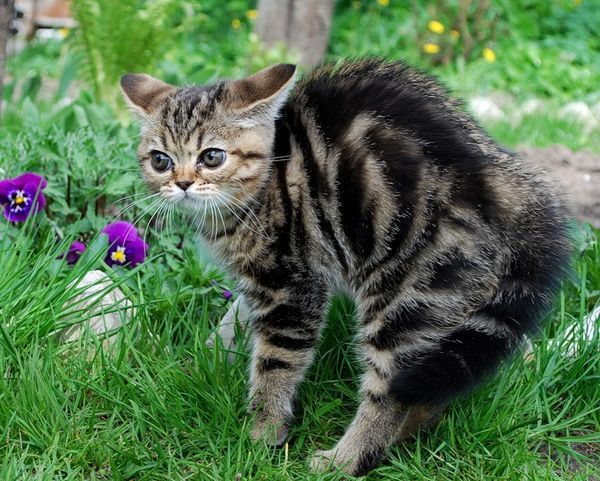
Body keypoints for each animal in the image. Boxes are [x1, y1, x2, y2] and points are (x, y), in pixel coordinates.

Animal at [119, 58, 568, 474]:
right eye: (160, 160)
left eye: (212, 156)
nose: (181, 183)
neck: (262, 187)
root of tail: (507, 186)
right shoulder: (263, 282)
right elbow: (236, 318)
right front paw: (203, 358)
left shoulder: (292, 284)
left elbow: (275, 361)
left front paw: (262, 433)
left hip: (407, 296)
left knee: (389, 392)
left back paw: (347, 459)